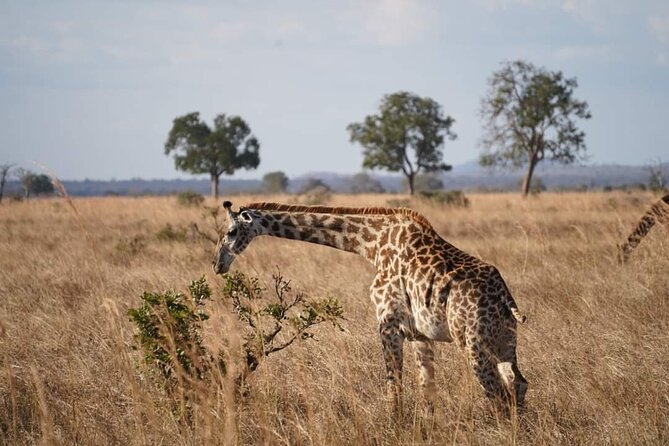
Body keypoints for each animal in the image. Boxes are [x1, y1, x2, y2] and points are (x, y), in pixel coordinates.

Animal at [214, 200, 528, 416]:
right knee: (518, 384)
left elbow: (394, 384)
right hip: (504, 342)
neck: (371, 243)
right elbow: (427, 390)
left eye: (231, 231)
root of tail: (506, 297)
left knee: (497, 392)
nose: (217, 265)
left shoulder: (387, 322)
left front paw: (395, 425)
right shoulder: (419, 334)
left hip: (472, 342)